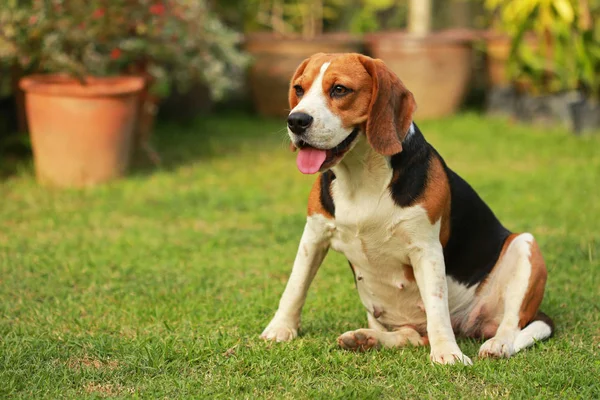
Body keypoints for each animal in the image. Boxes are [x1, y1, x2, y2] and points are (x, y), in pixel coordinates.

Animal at [260, 53, 556, 366]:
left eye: (339, 90)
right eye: (299, 89)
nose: (296, 121)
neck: (361, 174)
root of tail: (467, 325)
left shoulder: (426, 249)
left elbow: (437, 305)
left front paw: (447, 353)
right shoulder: (313, 235)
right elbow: (295, 285)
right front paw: (281, 328)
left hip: (525, 246)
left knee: (511, 323)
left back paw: (498, 344)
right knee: (411, 336)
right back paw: (367, 339)